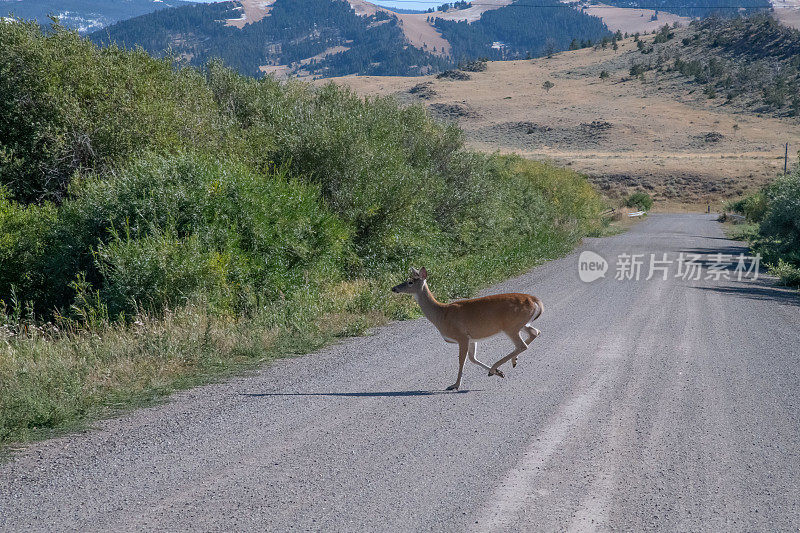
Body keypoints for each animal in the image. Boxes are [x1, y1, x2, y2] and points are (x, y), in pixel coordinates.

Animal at [390, 268, 540, 388]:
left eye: (410, 282)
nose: (394, 288)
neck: (441, 314)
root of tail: (535, 300)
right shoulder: (472, 338)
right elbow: (473, 358)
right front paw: (499, 373)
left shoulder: (461, 336)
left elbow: (462, 360)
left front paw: (455, 385)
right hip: (521, 324)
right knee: (535, 332)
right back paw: (507, 364)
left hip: (511, 326)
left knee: (522, 345)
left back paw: (497, 366)